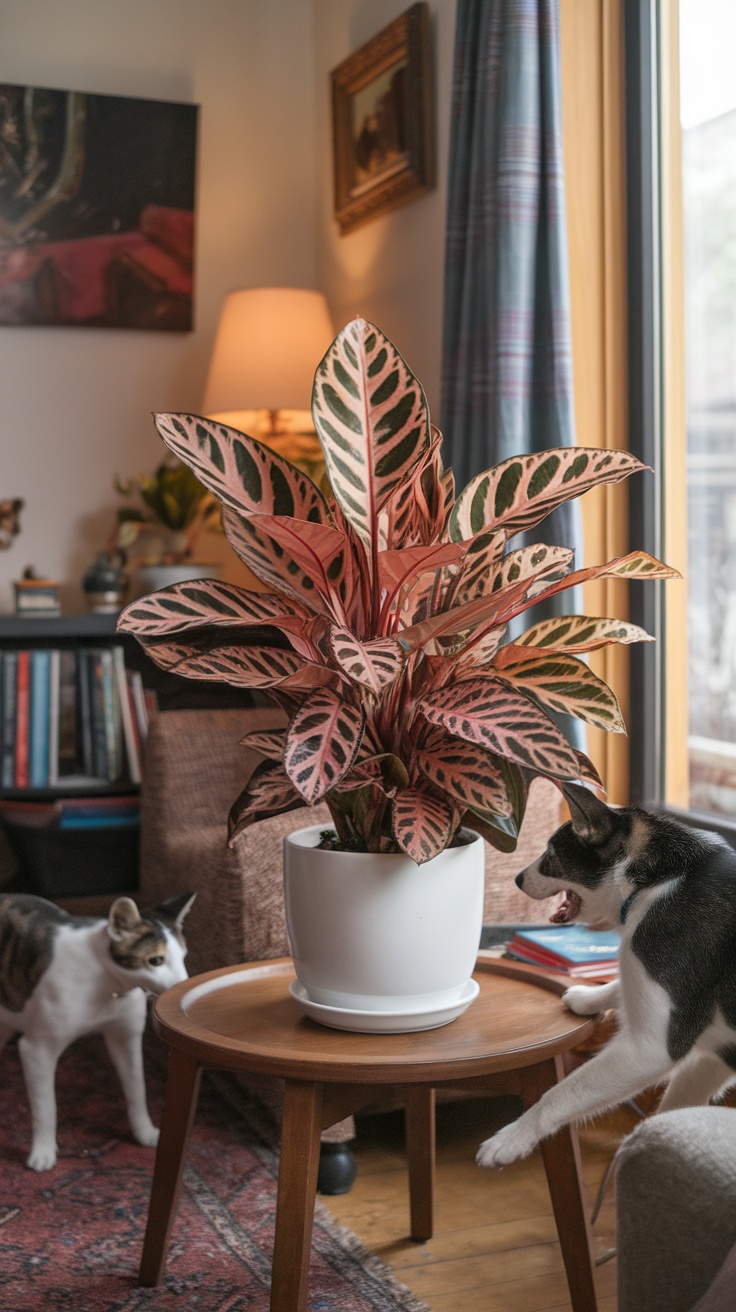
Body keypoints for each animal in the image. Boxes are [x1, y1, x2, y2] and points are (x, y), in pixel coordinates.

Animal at [0, 886, 195, 1175]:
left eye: (183, 958)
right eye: (155, 960)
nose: (182, 987)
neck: (107, 982)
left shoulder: (125, 1037)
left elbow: (137, 1088)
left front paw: (144, 1132)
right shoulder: (37, 1049)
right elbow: (46, 1107)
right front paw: (43, 1151)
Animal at [472, 781, 734, 1165]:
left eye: (551, 853)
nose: (518, 878)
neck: (656, 879)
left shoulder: (650, 1047)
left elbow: (559, 1093)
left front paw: (513, 1137)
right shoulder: (715, 1058)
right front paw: (590, 997)